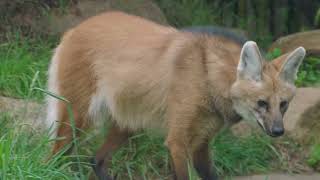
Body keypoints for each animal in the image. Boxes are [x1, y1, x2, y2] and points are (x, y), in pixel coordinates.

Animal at [46, 11, 306, 180]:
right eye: (261, 103)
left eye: (283, 105)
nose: (278, 131)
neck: (208, 76)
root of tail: (75, 29)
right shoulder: (177, 141)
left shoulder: (201, 142)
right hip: (77, 119)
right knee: (52, 159)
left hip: (129, 123)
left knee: (96, 160)